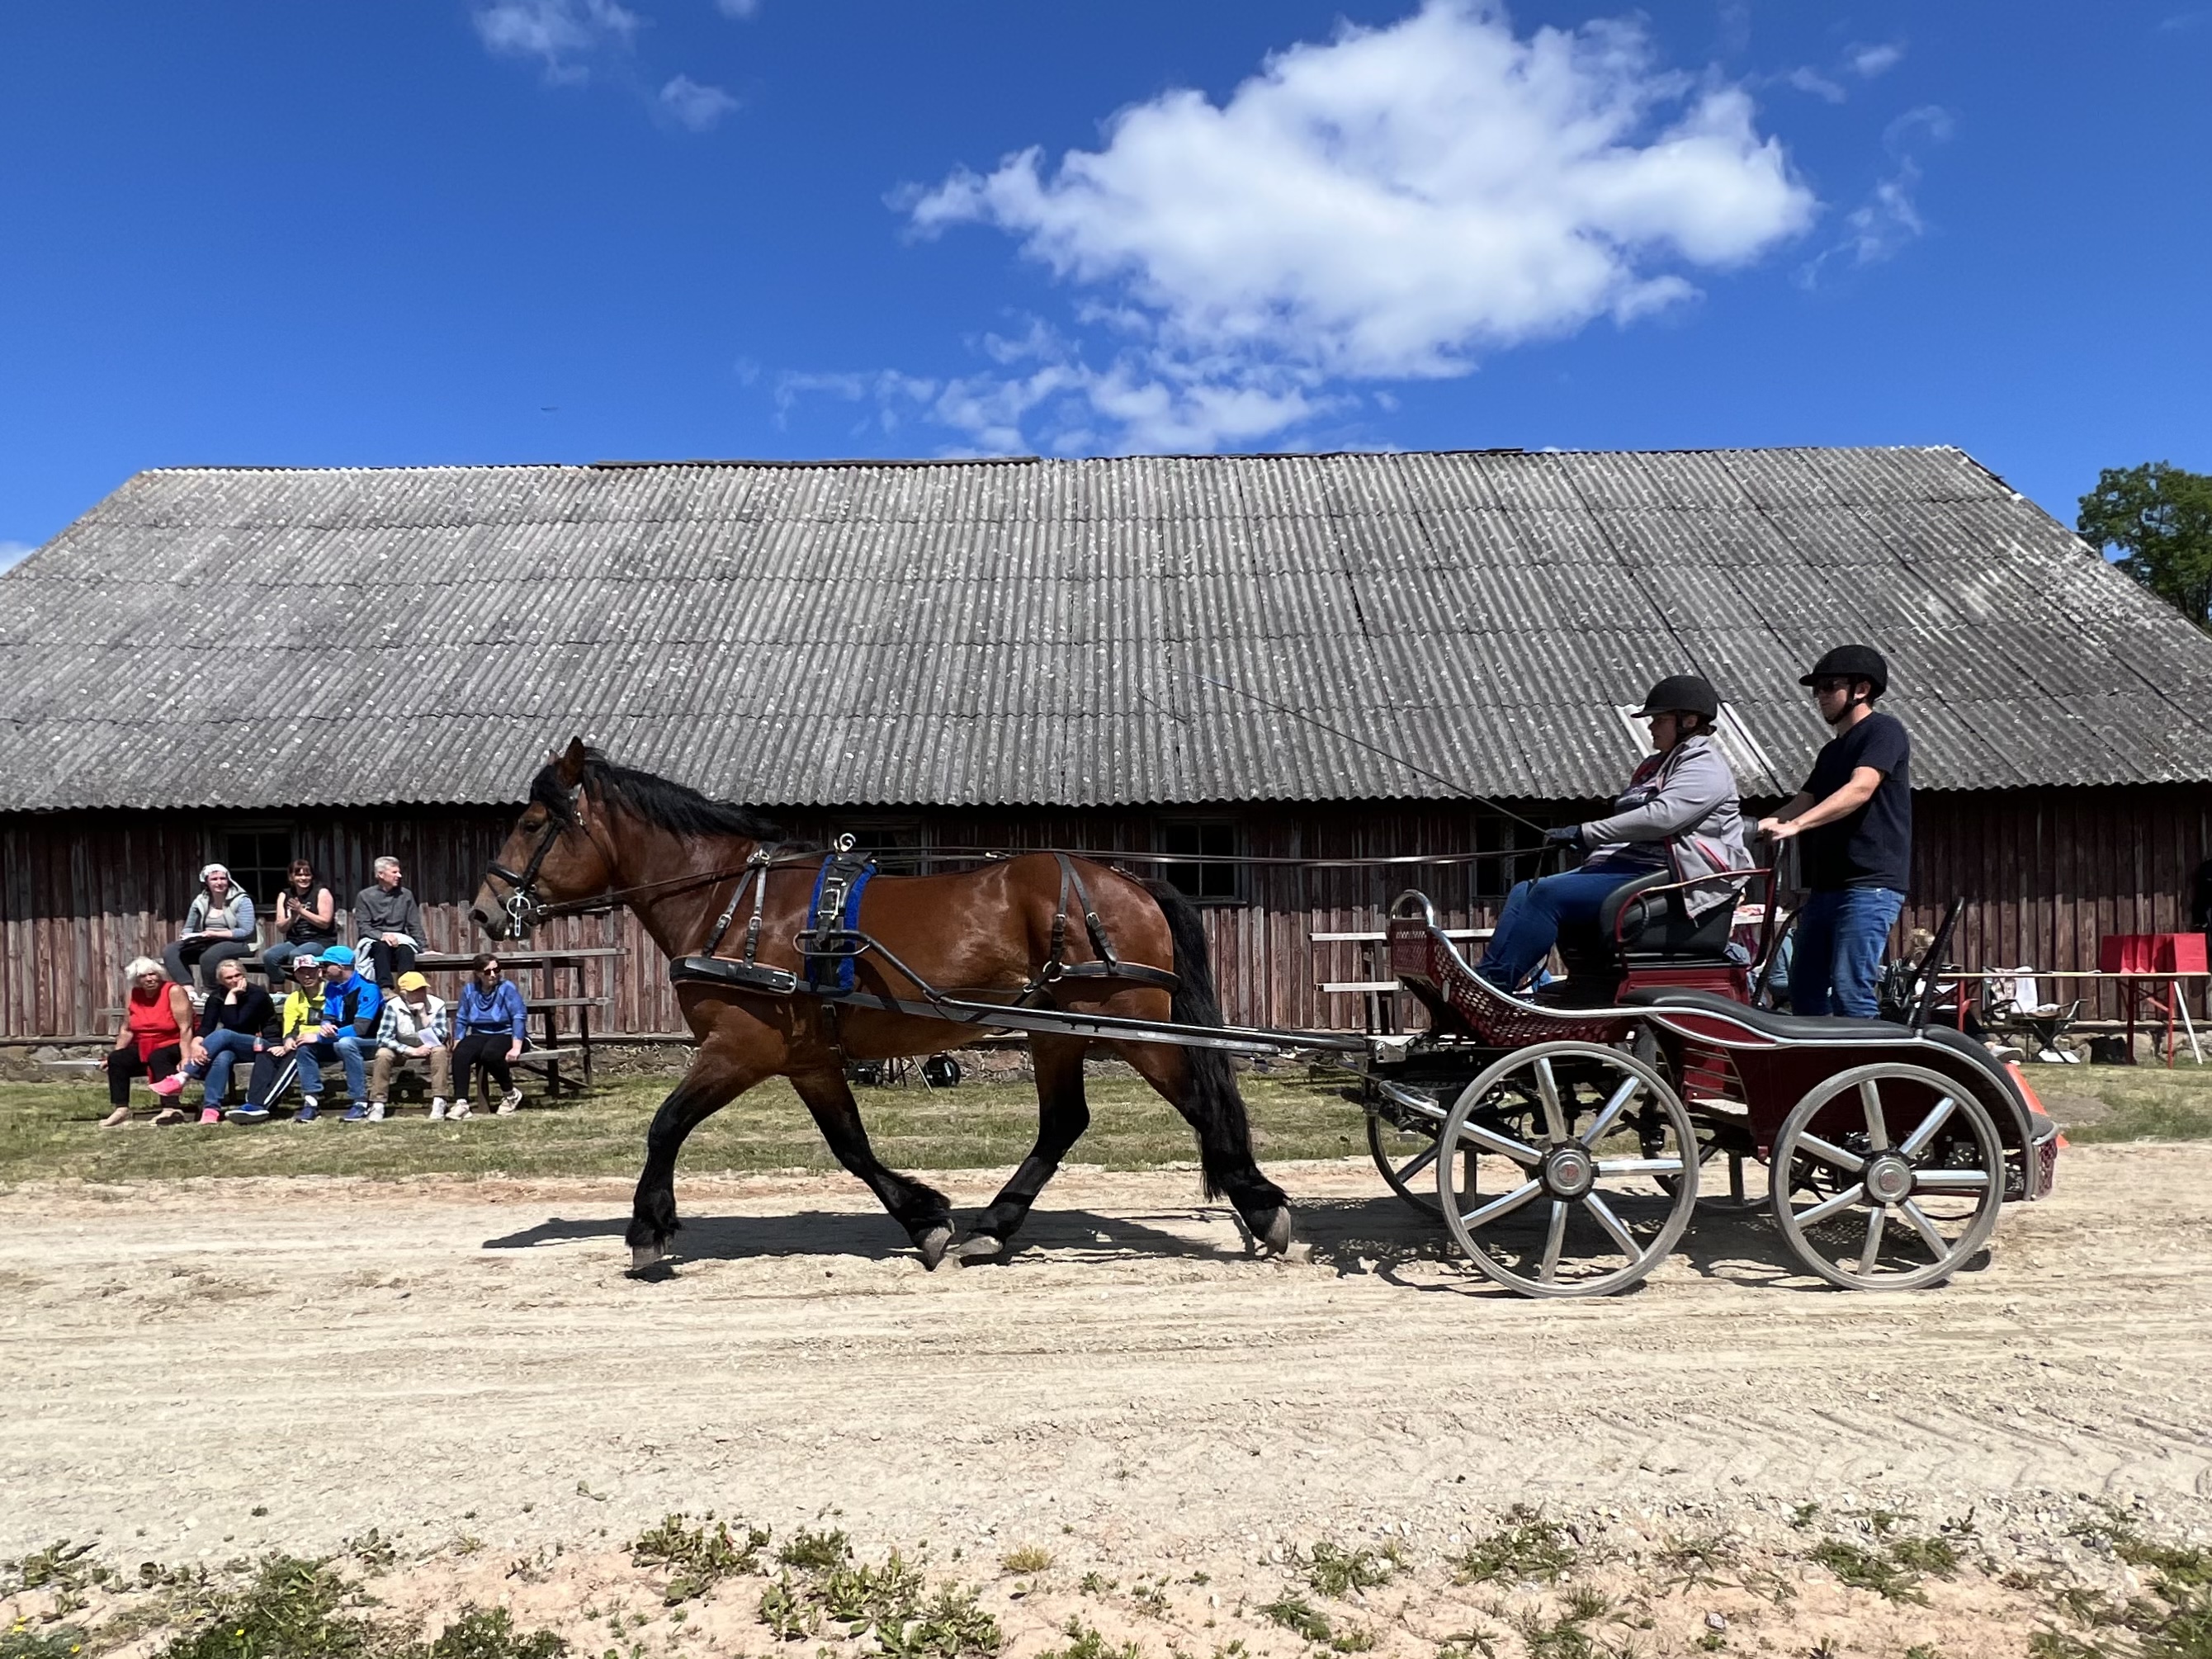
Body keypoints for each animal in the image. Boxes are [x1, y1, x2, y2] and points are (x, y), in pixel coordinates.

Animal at [469, 739, 1292, 1274]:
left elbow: (666, 1124)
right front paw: (925, 1218)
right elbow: (851, 1146)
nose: (484, 911)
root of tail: (1130, 882)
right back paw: (993, 1227)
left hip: (1135, 1025)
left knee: (1195, 1106)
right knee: (1065, 1123)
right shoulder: (806, 1058)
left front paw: (648, 1229)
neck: (735, 904)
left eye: (534, 824)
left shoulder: (741, 1046)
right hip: (1058, 1032)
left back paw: (1261, 1206)